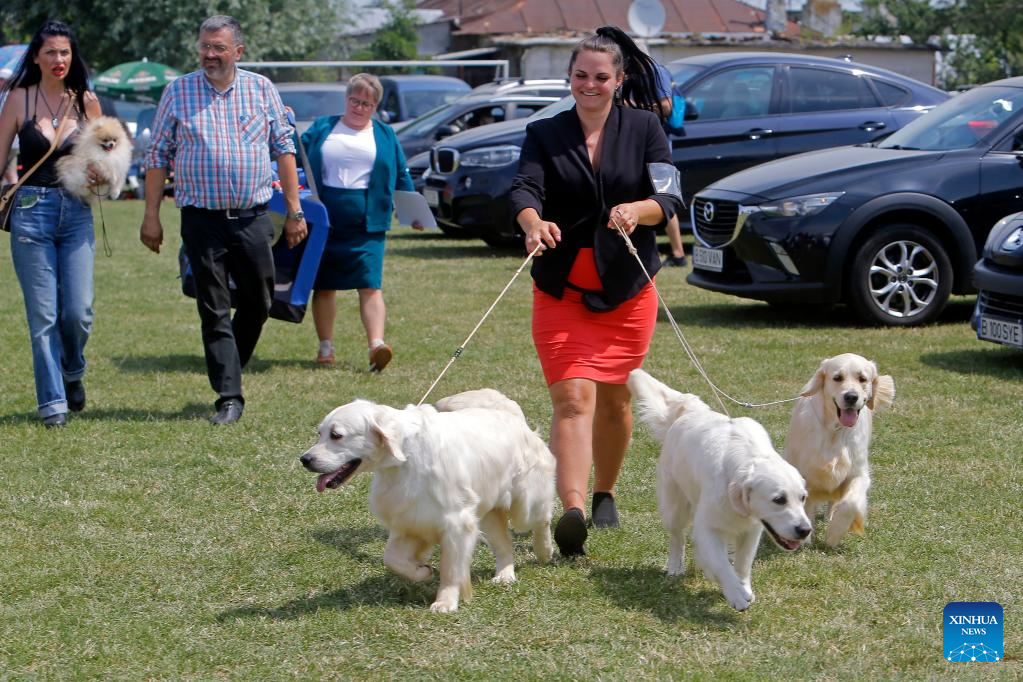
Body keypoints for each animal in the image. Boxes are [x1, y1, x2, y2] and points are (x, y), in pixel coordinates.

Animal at [298, 388, 552, 613]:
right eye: (319, 433)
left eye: (336, 435)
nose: (304, 459)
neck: (405, 457)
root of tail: (511, 414)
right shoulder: (410, 519)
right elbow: (391, 558)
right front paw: (422, 571)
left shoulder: (456, 523)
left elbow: (450, 569)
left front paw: (446, 602)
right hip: (487, 512)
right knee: (504, 545)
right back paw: (505, 575)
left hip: (524, 503)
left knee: (541, 519)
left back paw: (544, 551)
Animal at [626, 370, 810, 609]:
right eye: (779, 499)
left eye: (803, 498)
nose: (805, 530)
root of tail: (691, 409)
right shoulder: (707, 527)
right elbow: (721, 563)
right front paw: (735, 593)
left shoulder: (752, 529)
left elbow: (743, 563)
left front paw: (744, 587)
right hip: (675, 506)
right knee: (677, 538)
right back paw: (675, 567)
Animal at [785, 355, 892, 548]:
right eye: (837, 378)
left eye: (862, 379)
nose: (851, 397)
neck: (835, 429)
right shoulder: (803, 471)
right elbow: (804, 503)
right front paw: (805, 539)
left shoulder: (859, 473)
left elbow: (850, 503)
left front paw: (834, 534)